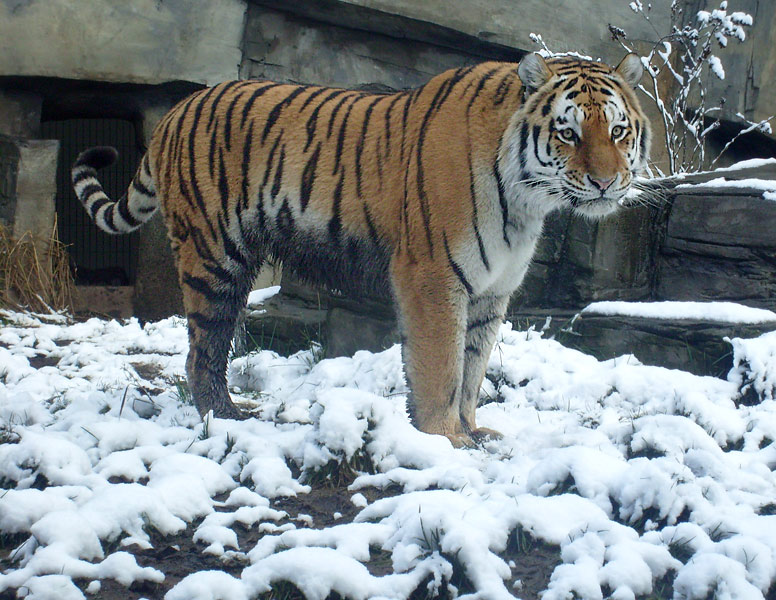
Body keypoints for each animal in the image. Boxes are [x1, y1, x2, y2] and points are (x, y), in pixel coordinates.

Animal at [73, 54, 652, 448]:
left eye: (619, 131)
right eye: (568, 133)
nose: (607, 183)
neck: (527, 200)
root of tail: (177, 110)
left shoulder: (492, 292)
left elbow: (473, 368)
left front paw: (473, 429)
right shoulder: (433, 275)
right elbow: (442, 365)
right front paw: (445, 437)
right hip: (214, 256)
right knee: (204, 349)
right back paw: (226, 416)